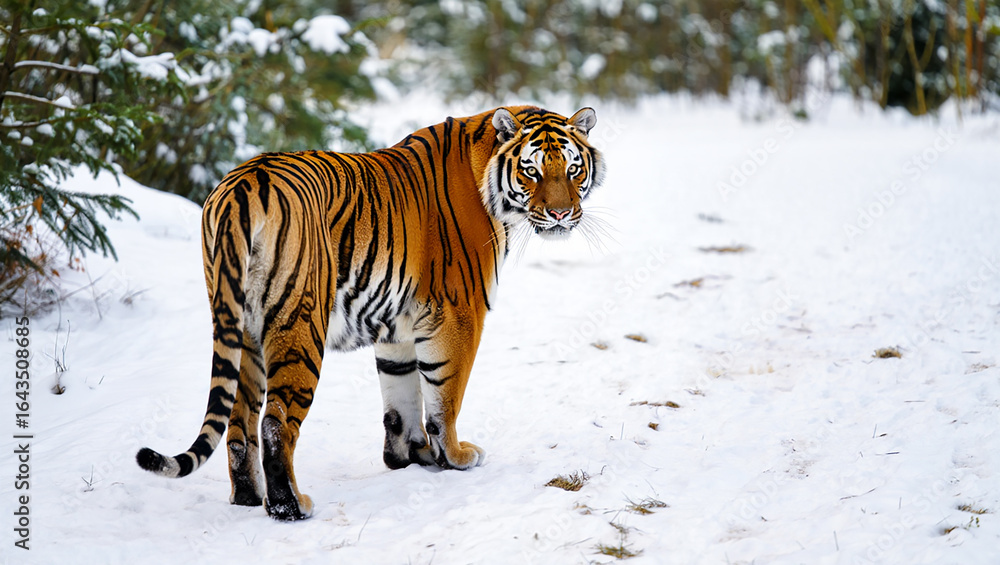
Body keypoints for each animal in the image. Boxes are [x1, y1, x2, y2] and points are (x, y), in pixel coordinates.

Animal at [136, 106, 606, 521]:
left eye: (572, 170)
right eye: (532, 171)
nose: (561, 213)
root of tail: (242, 185)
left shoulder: (399, 325)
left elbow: (401, 396)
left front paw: (409, 455)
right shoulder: (458, 312)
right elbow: (445, 396)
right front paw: (455, 456)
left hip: (241, 331)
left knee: (238, 422)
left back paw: (249, 499)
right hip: (299, 325)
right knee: (275, 423)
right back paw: (289, 507)